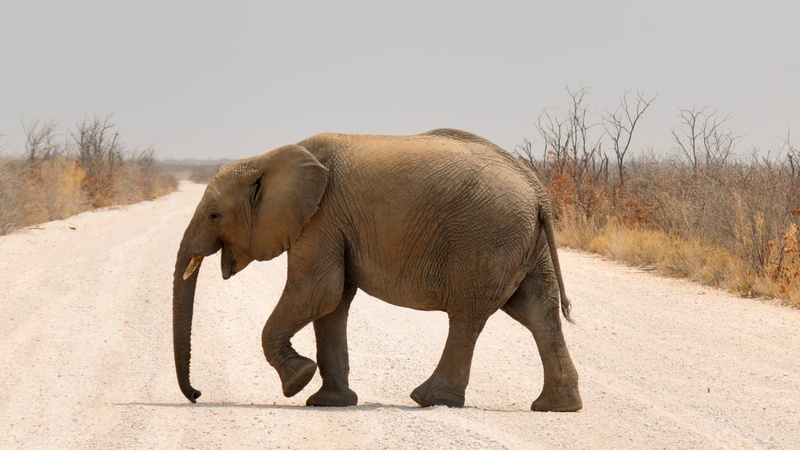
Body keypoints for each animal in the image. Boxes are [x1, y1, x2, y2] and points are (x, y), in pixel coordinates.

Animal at [172, 128, 582, 412]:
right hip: (525, 244)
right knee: (538, 312)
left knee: (468, 316)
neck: (267, 159)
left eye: (214, 215)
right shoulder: (332, 224)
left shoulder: (320, 218)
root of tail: (537, 190)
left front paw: (297, 382)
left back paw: (428, 399)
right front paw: (328, 402)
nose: (197, 394)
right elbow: (332, 302)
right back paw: (557, 407)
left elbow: (317, 292)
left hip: (485, 239)